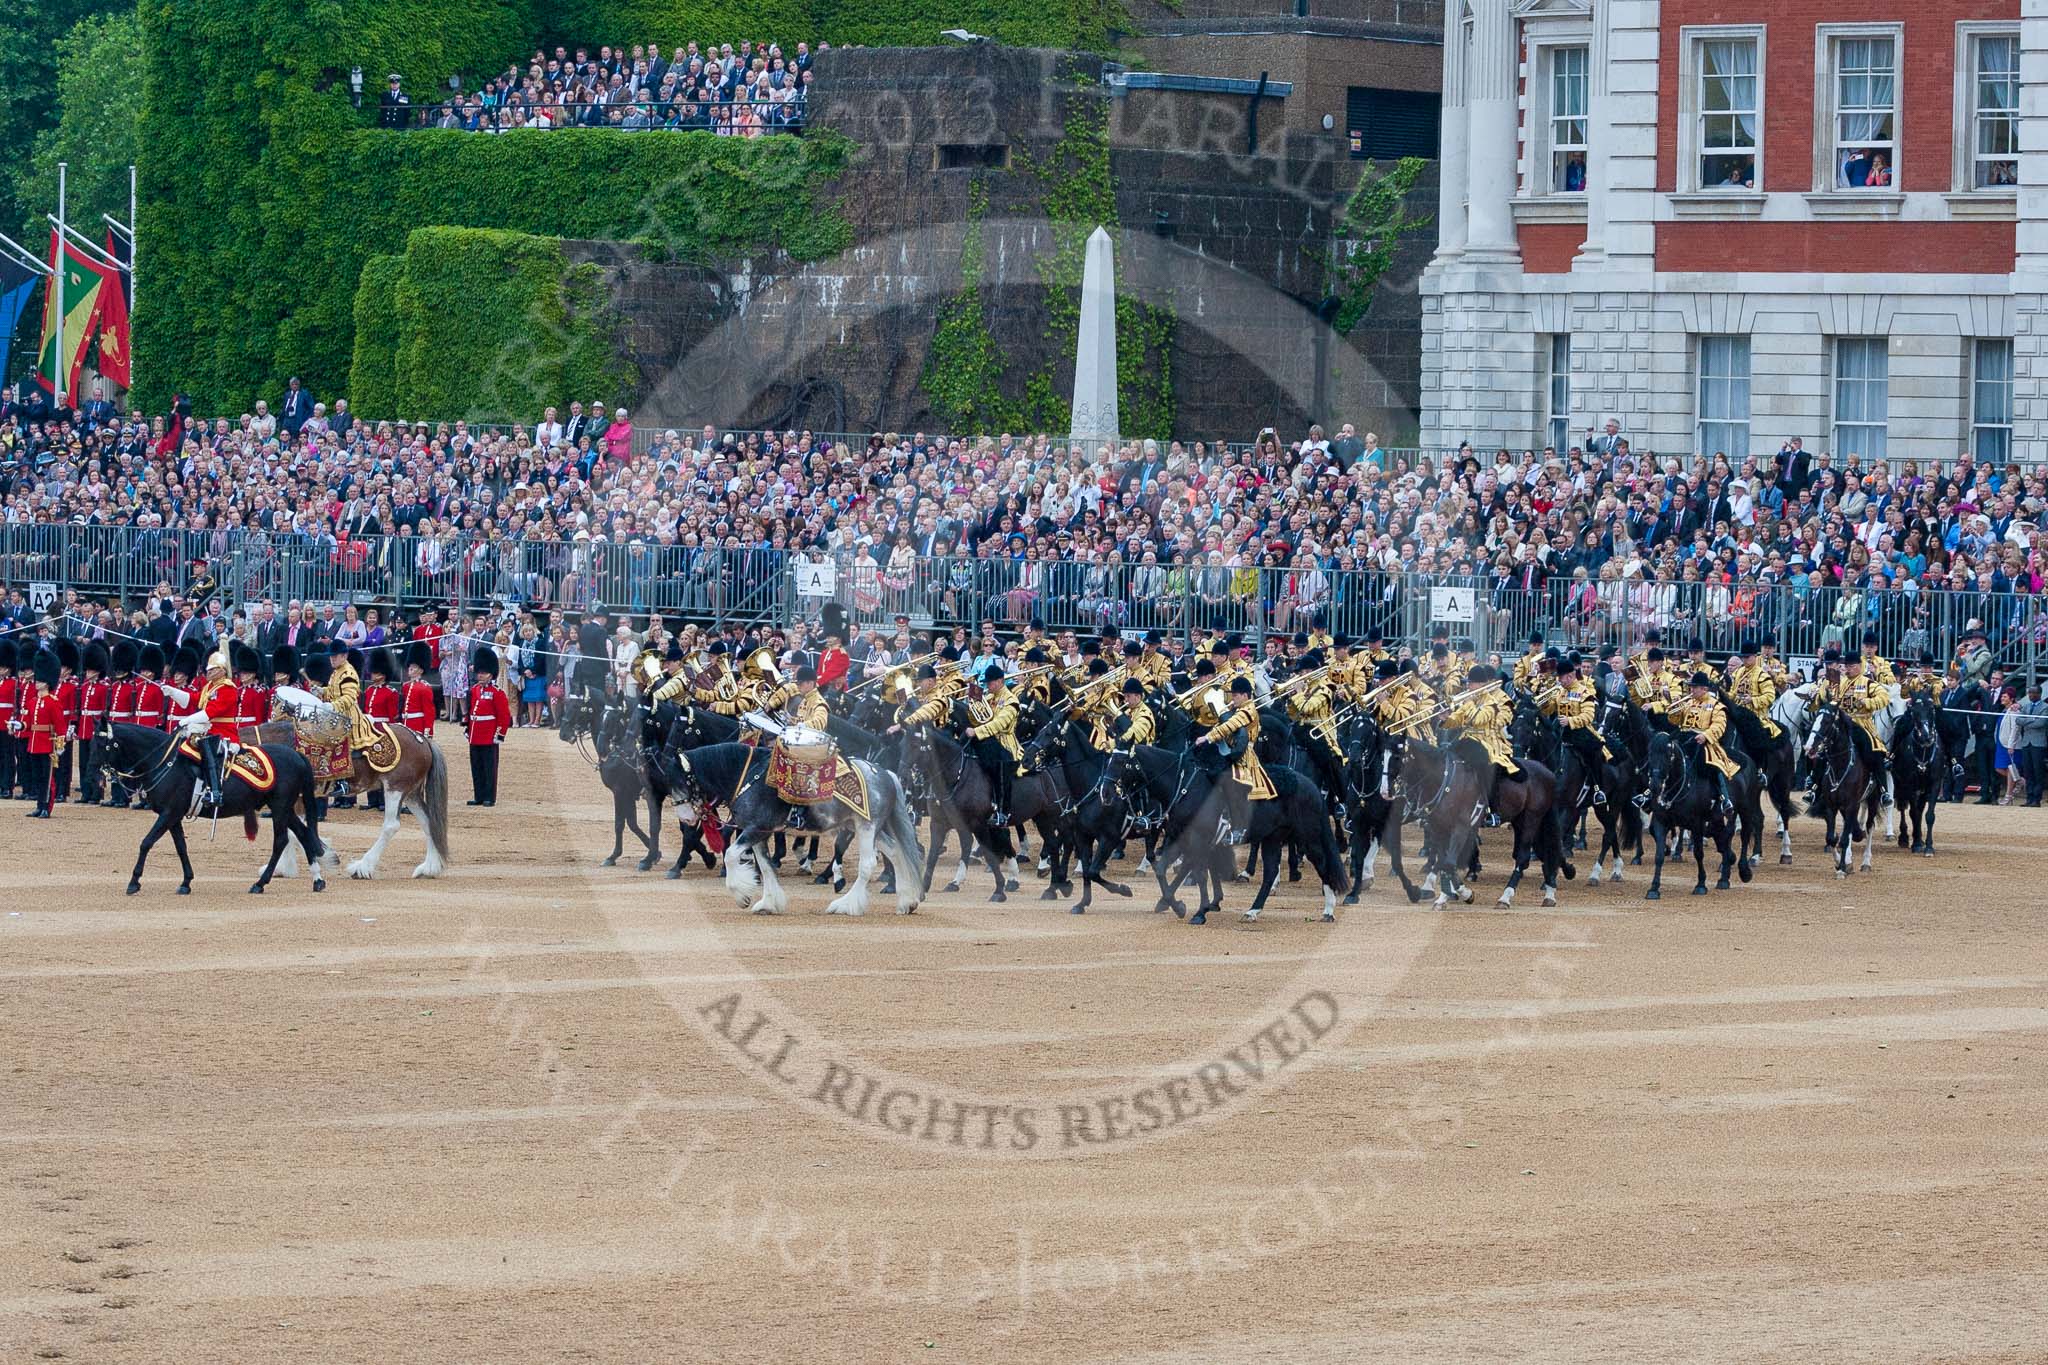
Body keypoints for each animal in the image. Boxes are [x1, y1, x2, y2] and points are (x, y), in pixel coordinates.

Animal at [100, 720, 327, 900]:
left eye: (104, 745)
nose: (101, 773)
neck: (165, 763)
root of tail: (297, 755)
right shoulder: (174, 815)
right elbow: (181, 846)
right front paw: (186, 882)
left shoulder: (169, 812)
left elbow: (146, 842)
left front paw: (134, 882)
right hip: (284, 808)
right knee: (304, 833)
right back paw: (317, 880)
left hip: (280, 807)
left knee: (281, 840)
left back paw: (260, 884)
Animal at [264, 687, 452, 879]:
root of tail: (422, 739)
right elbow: (292, 829)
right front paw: (285, 867)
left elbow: (294, 831)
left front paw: (318, 858)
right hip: (411, 793)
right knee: (428, 822)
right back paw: (429, 867)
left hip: (395, 788)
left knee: (391, 826)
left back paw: (363, 867)